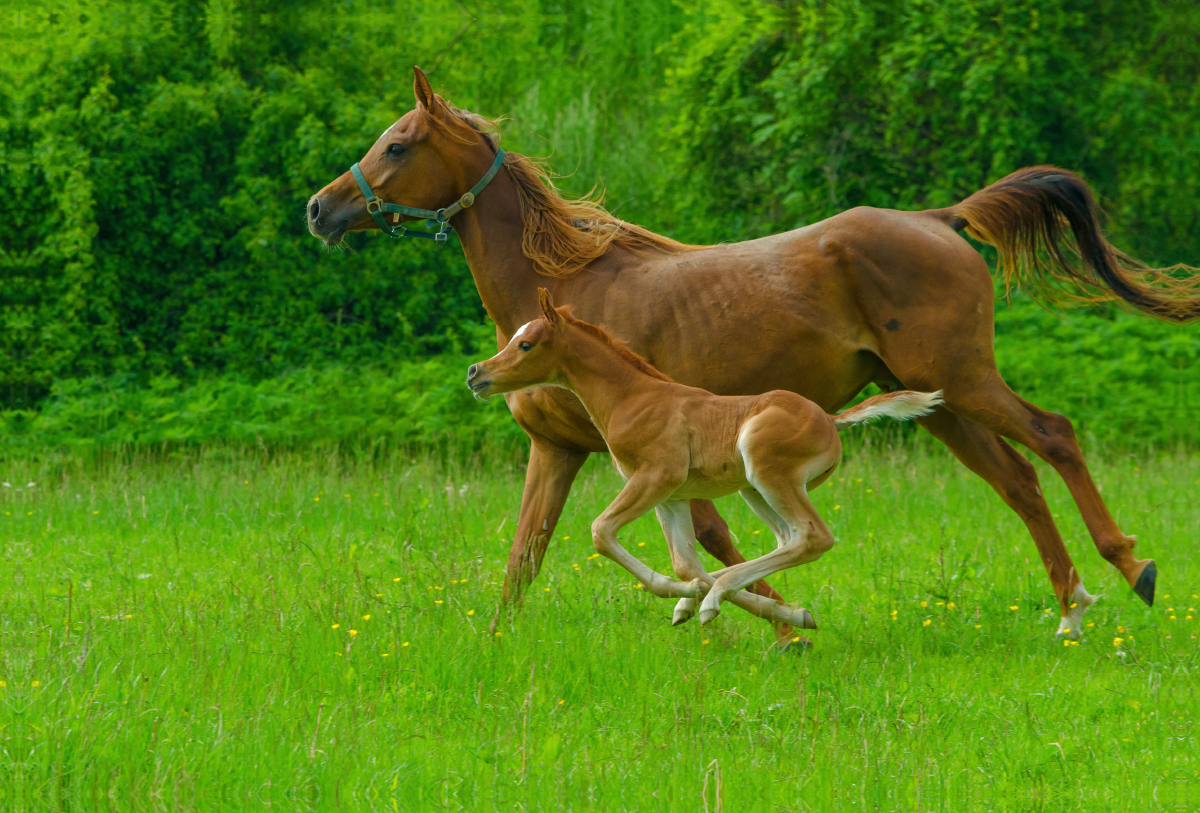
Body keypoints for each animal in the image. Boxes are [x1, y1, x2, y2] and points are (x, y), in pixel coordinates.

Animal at [463, 290, 940, 633]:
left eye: (526, 344)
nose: (475, 373)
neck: (631, 397)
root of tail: (829, 418)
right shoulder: (671, 495)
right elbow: (686, 563)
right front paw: (693, 600)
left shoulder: (656, 476)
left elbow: (601, 532)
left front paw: (696, 599)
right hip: (755, 489)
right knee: (789, 540)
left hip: (767, 469)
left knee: (813, 536)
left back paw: (716, 600)